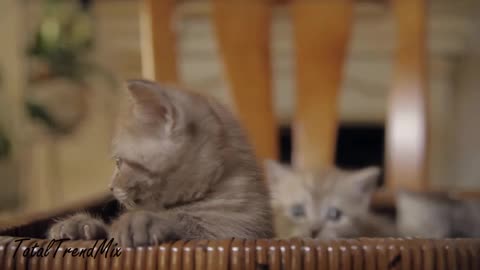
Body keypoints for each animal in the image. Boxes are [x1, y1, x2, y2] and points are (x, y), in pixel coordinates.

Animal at [49, 79, 274, 246]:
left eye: (119, 162)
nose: (110, 186)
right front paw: (80, 225)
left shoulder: (239, 230)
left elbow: (195, 227)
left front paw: (142, 222)